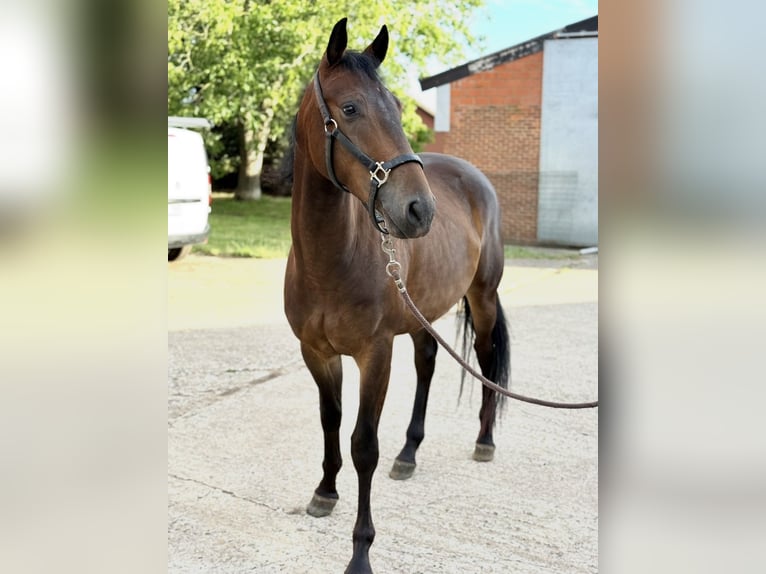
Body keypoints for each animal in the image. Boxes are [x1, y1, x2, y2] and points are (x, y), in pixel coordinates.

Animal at [283, 18, 510, 574]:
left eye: (399, 108)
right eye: (349, 109)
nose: (419, 210)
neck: (329, 262)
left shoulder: (375, 354)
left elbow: (364, 444)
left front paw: (360, 552)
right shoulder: (317, 353)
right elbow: (330, 421)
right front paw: (324, 492)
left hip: (483, 299)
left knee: (487, 360)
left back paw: (484, 441)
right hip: (422, 312)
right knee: (428, 363)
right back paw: (409, 455)